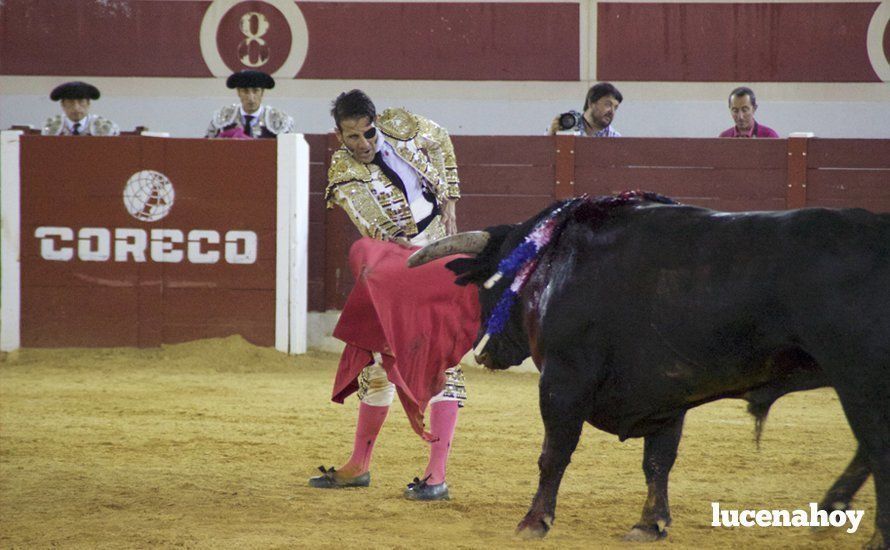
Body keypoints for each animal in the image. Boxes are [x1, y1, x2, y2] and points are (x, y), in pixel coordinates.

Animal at [408, 194, 888, 548]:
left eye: (493, 285)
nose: (482, 352)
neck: (553, 263)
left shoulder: (564, 381)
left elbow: (554, 453)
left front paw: (533, 522)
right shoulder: (667, 394)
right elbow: (658, 461)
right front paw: (649, 524)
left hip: (860, 380)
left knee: (877, 450)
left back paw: (869, 532)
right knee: (867, 451)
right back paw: (830, 510)